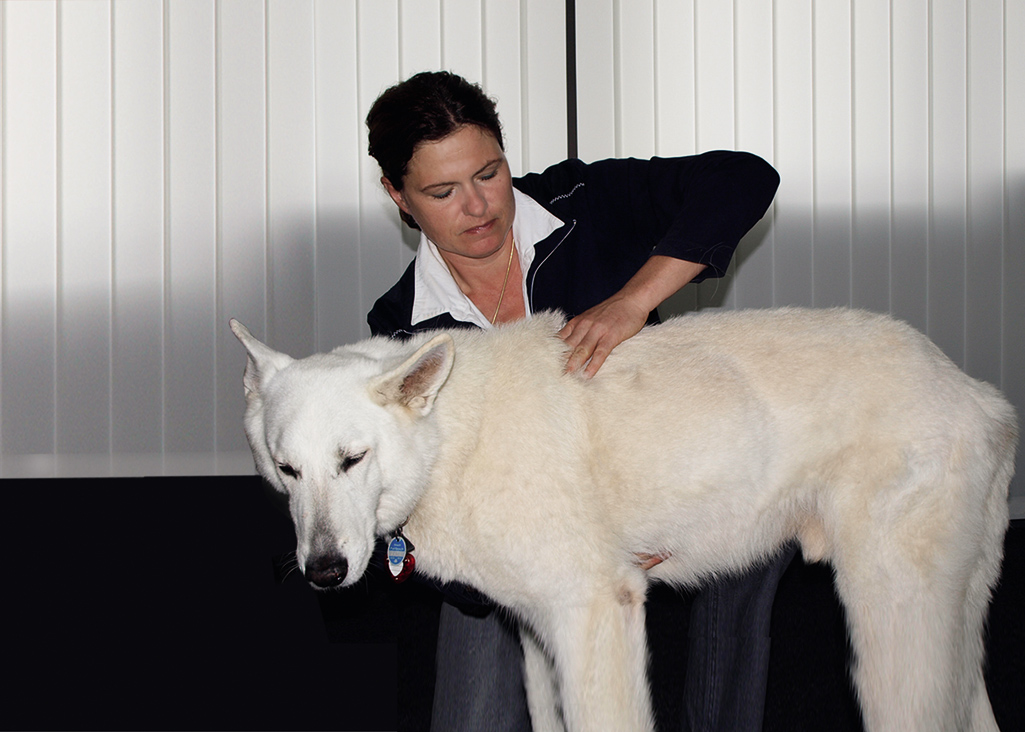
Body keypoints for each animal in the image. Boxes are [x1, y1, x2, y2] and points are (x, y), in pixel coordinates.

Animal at [230, 307, 1016, 729]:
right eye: (287, 470)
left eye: (352, 459)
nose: (323, 572)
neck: (453, 435)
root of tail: (978, 395)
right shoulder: (539, 633)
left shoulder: (595, 614)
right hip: (953, 623)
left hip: (889, 620)